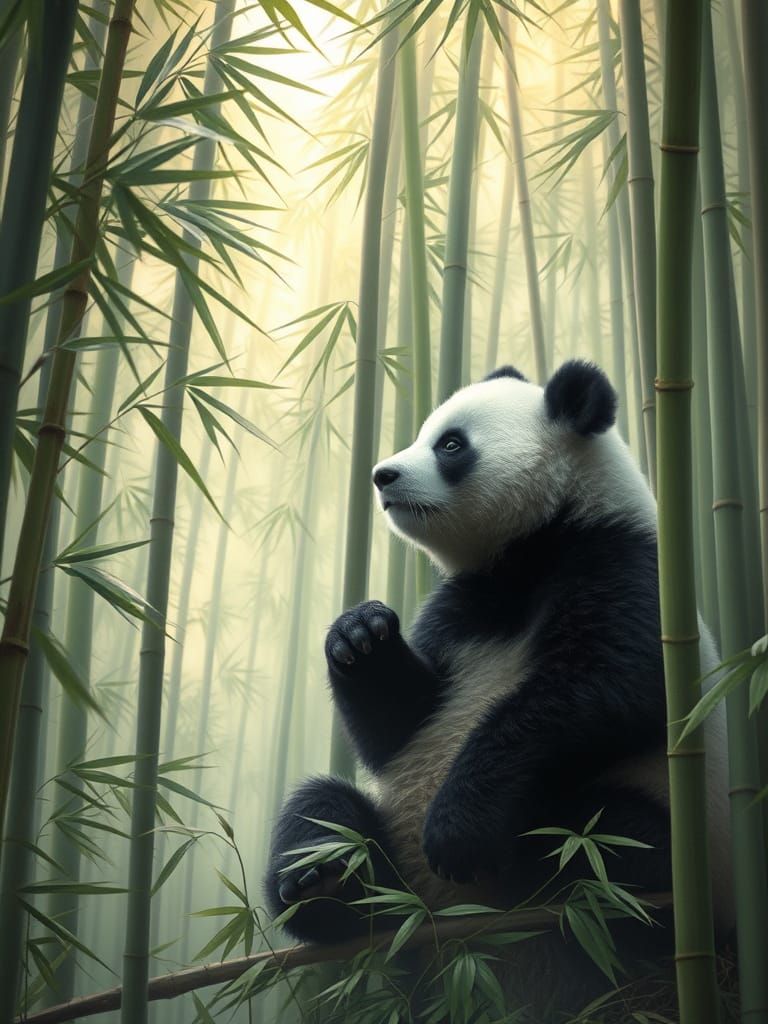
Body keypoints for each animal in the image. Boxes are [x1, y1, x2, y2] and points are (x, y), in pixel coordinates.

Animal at [264, 360, 732, 980]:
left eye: (450, 445)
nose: (382, 475)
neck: (530, 548)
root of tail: (443, 923)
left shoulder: (626, 565)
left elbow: (615, 687)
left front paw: (456, 829)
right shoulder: (459, 608)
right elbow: (397, 727)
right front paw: (360, 634)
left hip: (676, 844)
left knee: (604, 842)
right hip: (389, 867)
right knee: (323, 814)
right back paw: (327, 884)